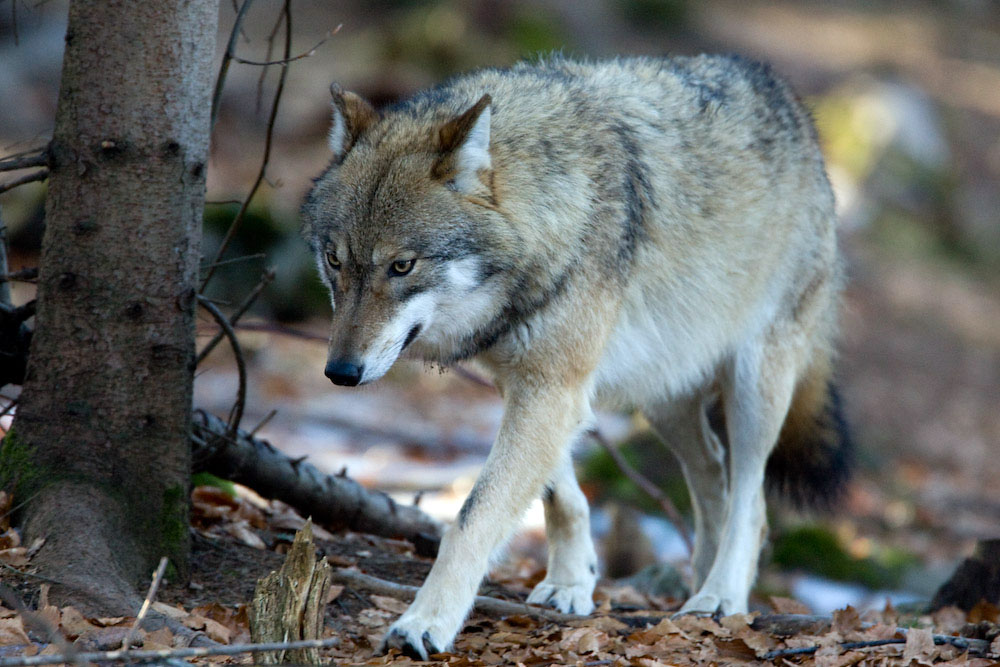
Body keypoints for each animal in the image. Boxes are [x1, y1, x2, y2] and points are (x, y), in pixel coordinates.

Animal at [300, 54, 848, 660]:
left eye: (402, 266)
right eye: (335, 260)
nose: (340, 373)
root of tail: (788, 98)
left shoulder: (552, 388)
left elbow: (472, 517)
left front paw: (425, 622)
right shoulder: (531, 384)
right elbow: (560, 495)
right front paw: (571, 582)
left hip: (755, 388)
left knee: (751, 500)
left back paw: (721, 597)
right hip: (665, 396)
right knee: (713, 475)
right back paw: (699, 583)